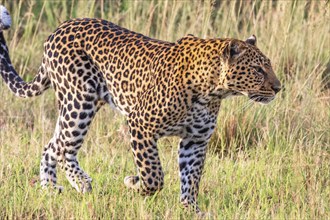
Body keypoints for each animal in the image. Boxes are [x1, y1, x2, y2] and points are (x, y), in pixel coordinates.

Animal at [0, 5, 282, 214]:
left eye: (268, 65)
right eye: (258, 69)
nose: (279, 88)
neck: (212, 89)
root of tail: (58, 29)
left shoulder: (196, 140)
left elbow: (191, 178)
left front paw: (191, 210)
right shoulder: (140, 125)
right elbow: (154, 174)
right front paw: (134, 183)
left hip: (74, 105)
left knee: (52, 145)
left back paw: (49, 189)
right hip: (80, 102)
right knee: (63, 148)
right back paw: (81, 182)